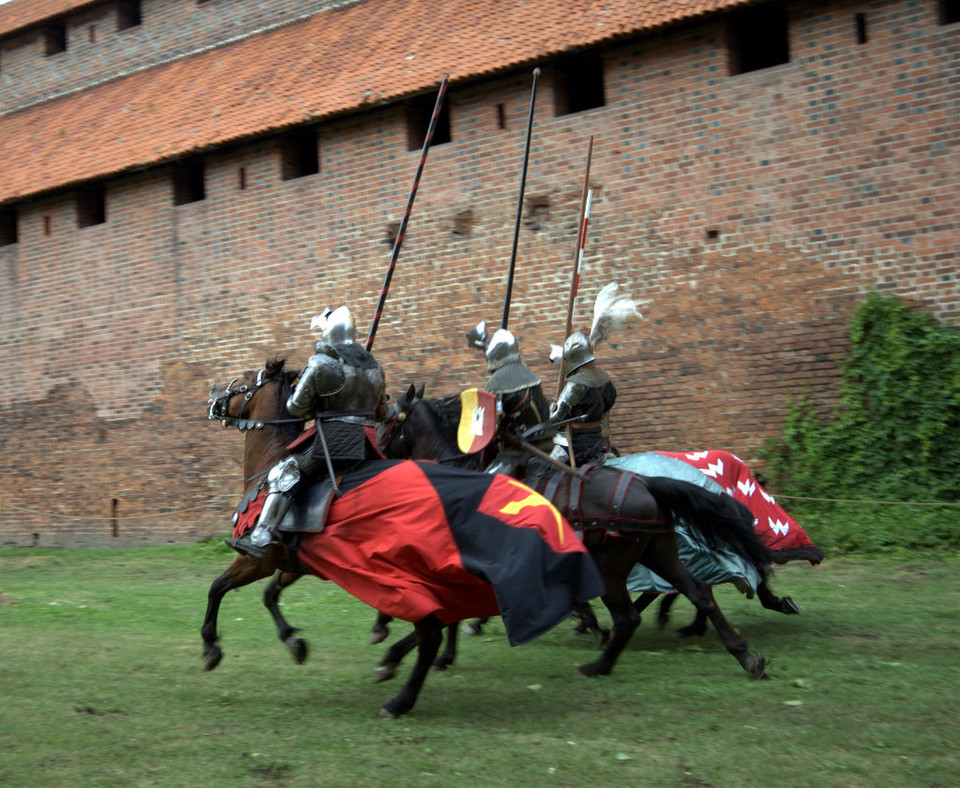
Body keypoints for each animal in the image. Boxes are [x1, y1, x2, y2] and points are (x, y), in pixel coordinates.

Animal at [378, 384, 768, 680]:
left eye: (389, 419)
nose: (377, 452)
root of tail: (646, 483)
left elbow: (447, 612)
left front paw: (399, 654)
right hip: (660, 551)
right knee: (699, 593)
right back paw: (745, 656)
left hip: (611, 568)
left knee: (629, 616)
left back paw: (598, 665)